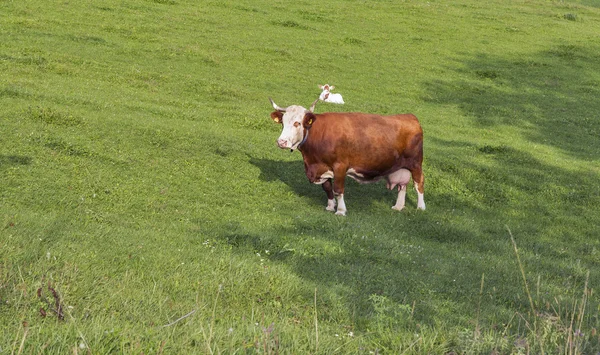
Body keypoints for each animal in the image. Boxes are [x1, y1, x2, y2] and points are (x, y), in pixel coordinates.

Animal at [270, 97, 424, 216]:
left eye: (297, 123)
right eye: (283, 122)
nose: (281, 142)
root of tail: (410, 117)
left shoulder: (340, 166)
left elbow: (338, 190)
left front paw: (340, 211)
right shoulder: (323, 167)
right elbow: (327, 188)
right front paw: (330, 206)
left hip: (416, 164)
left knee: (419, 184)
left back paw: (421, 207)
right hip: (401, 167)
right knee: (402, 186)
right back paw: (398, 206)